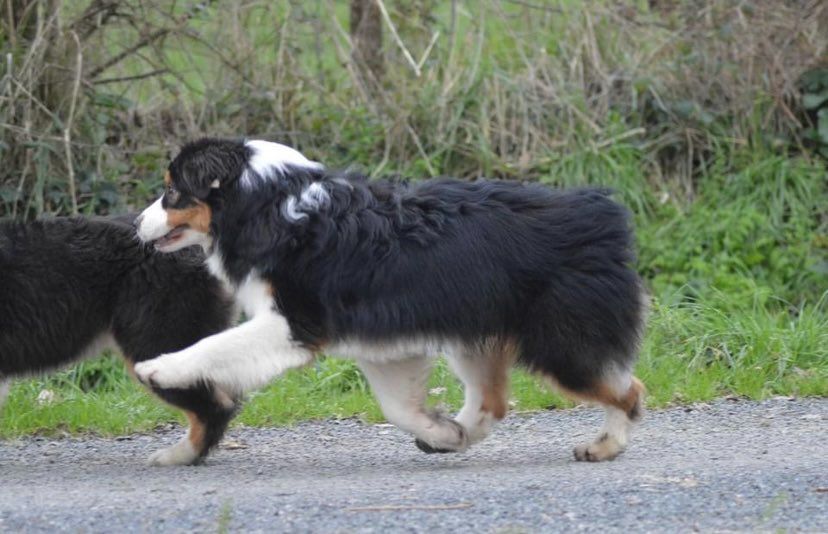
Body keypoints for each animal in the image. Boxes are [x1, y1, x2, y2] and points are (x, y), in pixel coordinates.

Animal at [134, 138, 647, 462]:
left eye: (172, 190)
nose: (136, 224)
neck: (268, 204)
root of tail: (602, 213)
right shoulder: (379, 337)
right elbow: (398, 406)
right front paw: (442, 432)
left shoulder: (294, 323)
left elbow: (215, 346)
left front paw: (159, 367)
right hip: (474, 331)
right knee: (493, 401)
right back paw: (457, 435)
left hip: (561, 343)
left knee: (629, 389)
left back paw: (605, 446)